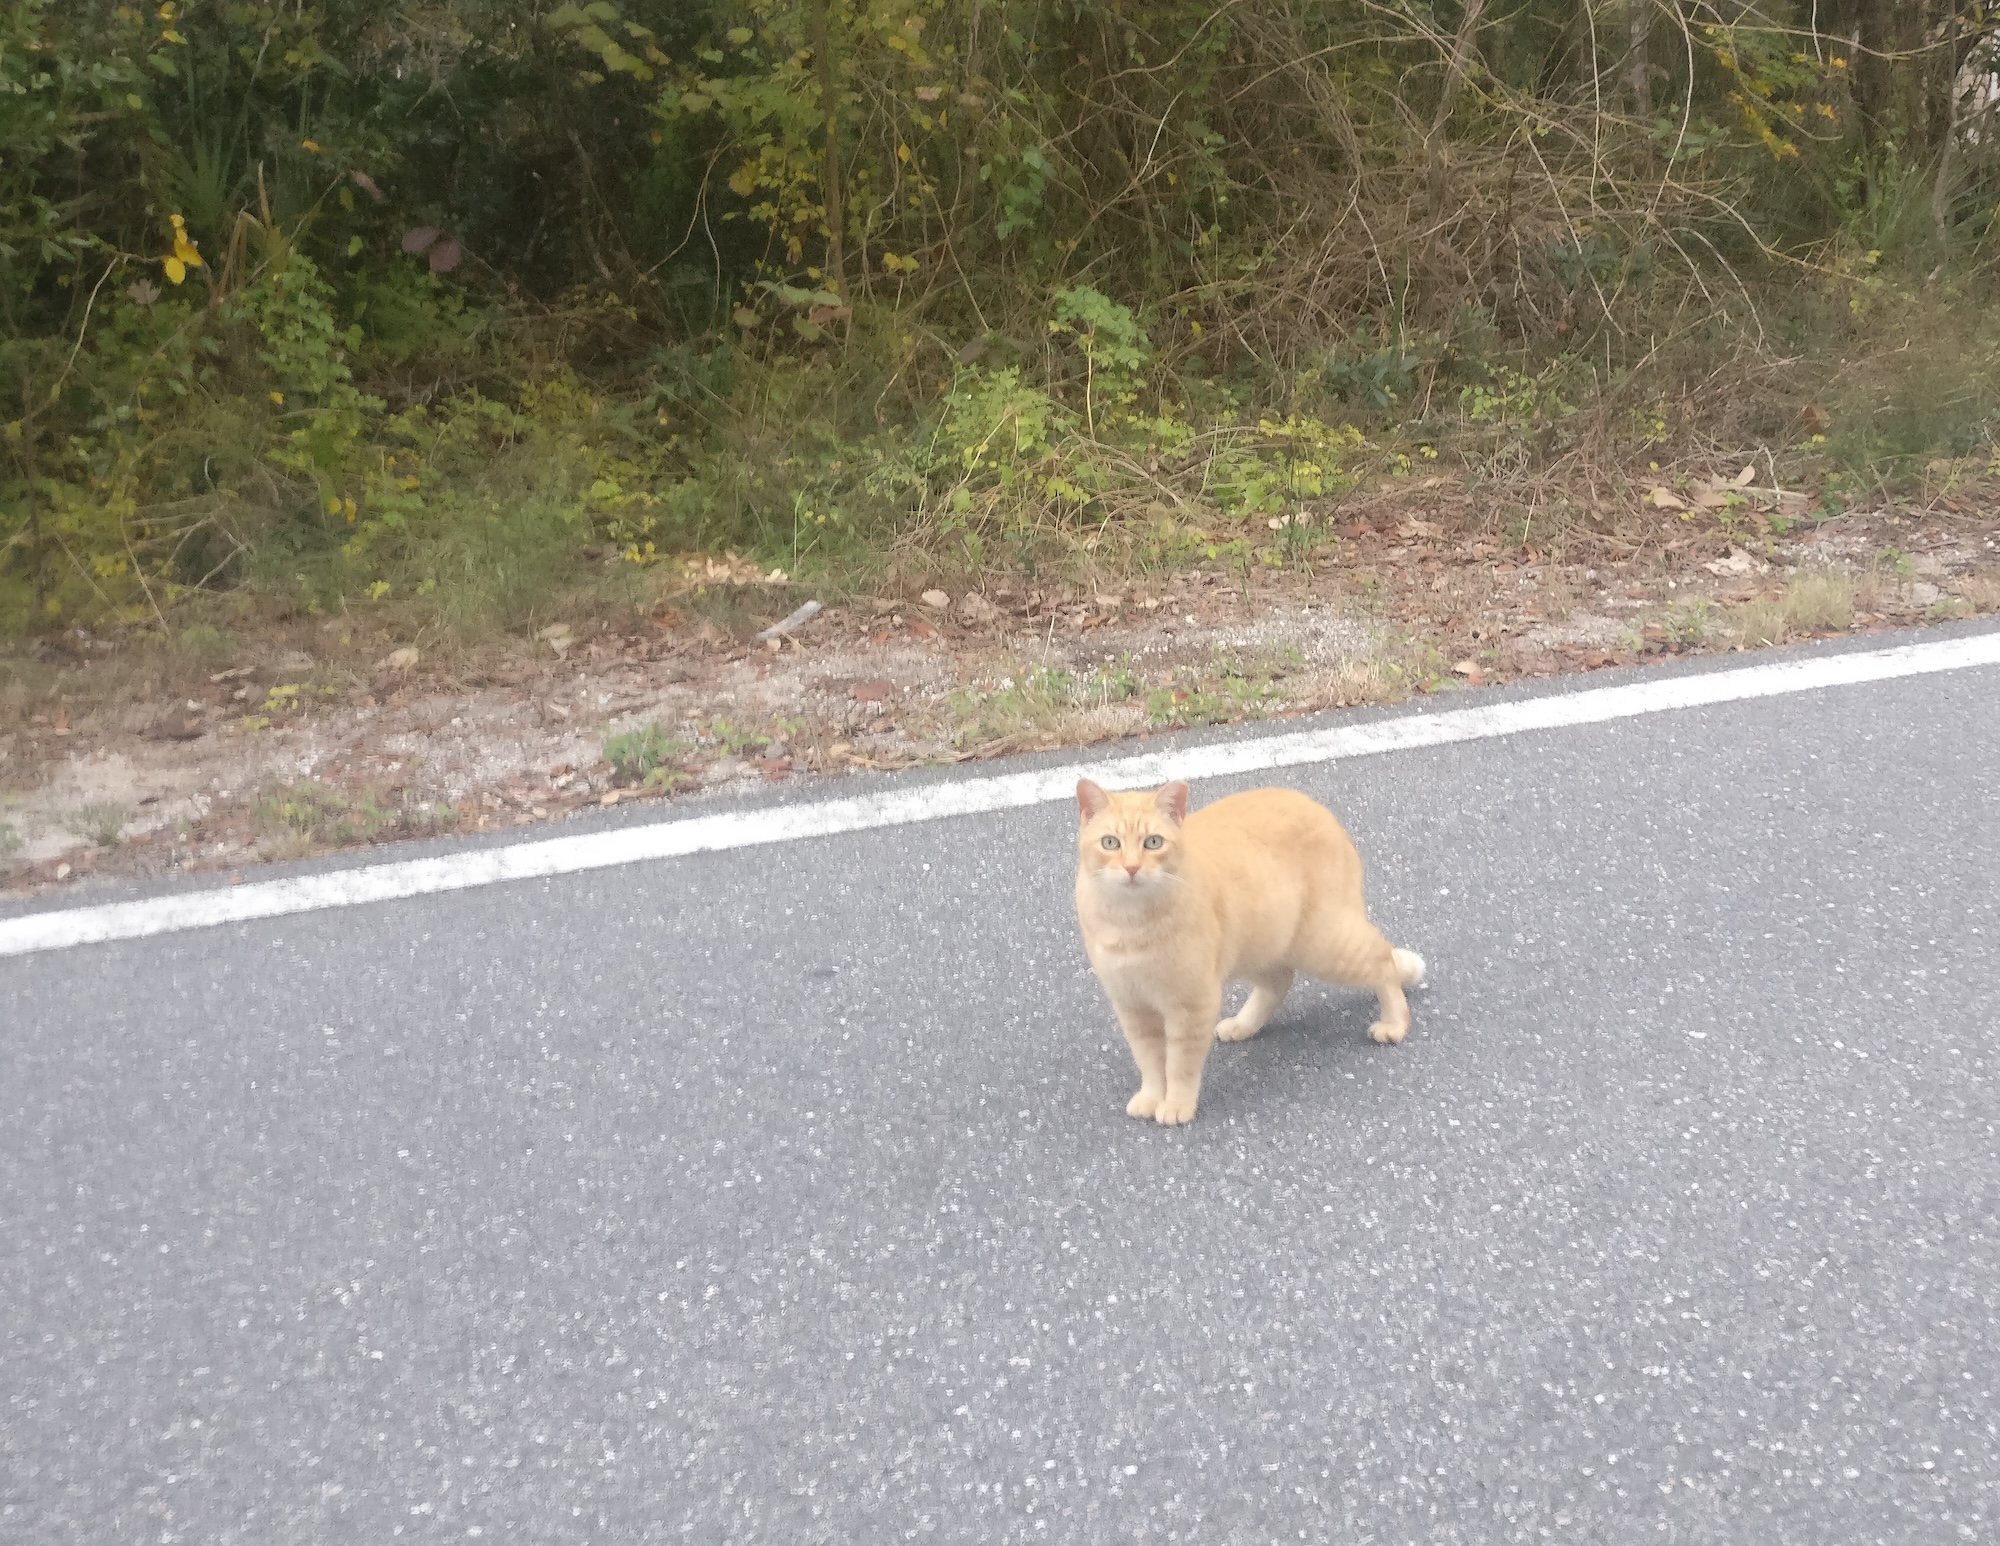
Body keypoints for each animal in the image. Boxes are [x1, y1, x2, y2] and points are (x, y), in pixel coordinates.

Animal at [1080, 784, 1424, 1120]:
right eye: (1110, 843)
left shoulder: (1192, 1003)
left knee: (1382, 959)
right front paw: (1153, 1097)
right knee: (1280, 980)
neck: (1131, 923)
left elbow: (1180, 1065)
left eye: (1153, 842)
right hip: (1260, 945)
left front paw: (1177, 1104)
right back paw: (1243, 1024)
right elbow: (1150, 1061)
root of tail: (1319, 808)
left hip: (1323, 944)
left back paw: (1394, 1023)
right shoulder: (1132, 1006)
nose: (1132, 868)